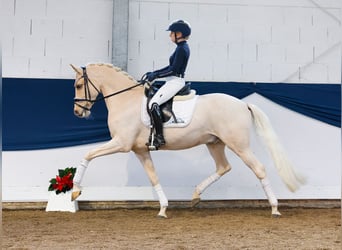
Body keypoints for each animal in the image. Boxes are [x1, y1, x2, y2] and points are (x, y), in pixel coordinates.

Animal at [69, 63, 304, 219]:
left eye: (79, 85)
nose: (77, 113)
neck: (126, 101)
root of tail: (241, 104)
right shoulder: (140, 150)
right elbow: (153, 177)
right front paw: (163, 208)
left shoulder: (121, 143)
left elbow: (87, 155)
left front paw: (75, 191)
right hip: (215, 143)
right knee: (223, 167)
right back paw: (196, 195)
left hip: (239, 145)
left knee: (259, 169)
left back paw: (275, 208)